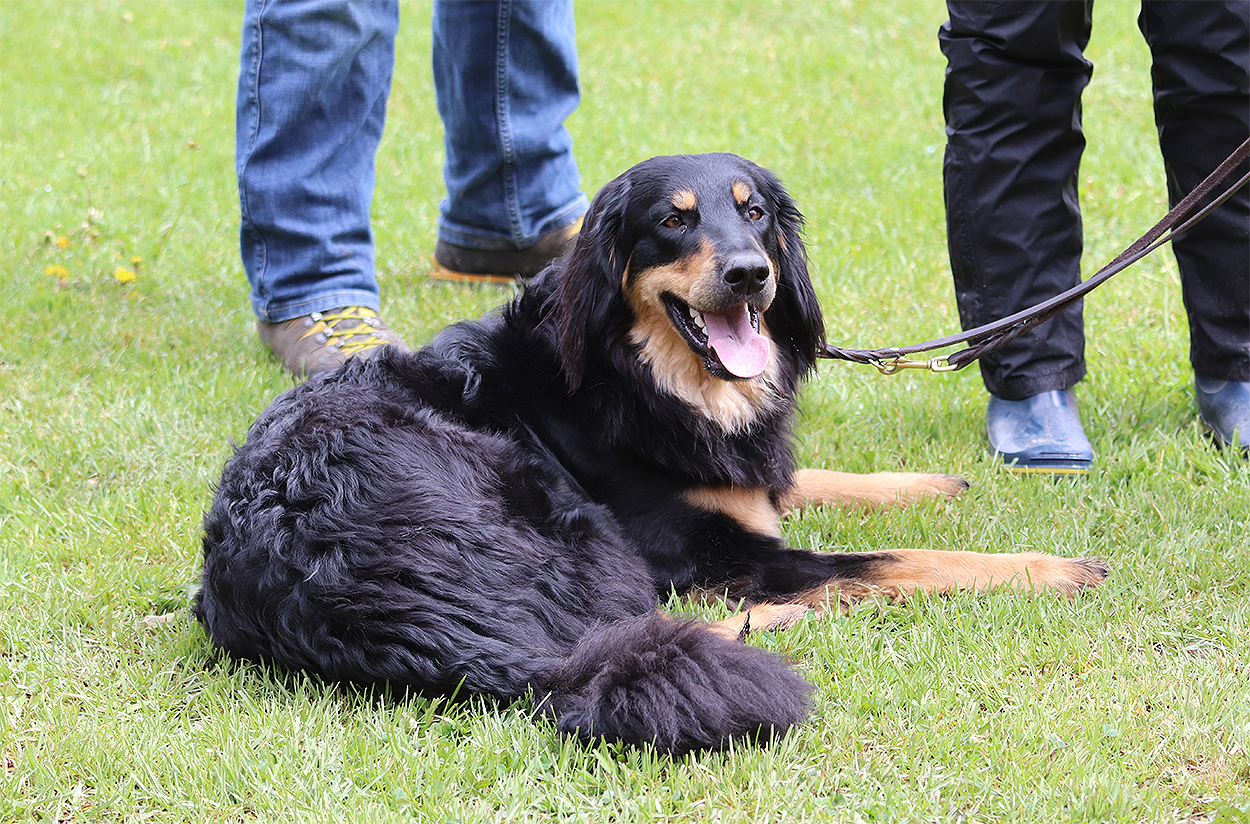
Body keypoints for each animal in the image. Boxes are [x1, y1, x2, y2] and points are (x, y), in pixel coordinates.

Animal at [196, 153, 1108, 756]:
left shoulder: (741, 477)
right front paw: (1047, 567)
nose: (748, 274)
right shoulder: (718, 550)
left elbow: (799, 477)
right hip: (566, 517)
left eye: (754, 212)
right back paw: (793, 615)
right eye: (673, 221)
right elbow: (902, 561)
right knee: (637, 630)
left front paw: (929, 483)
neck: (638, 374)